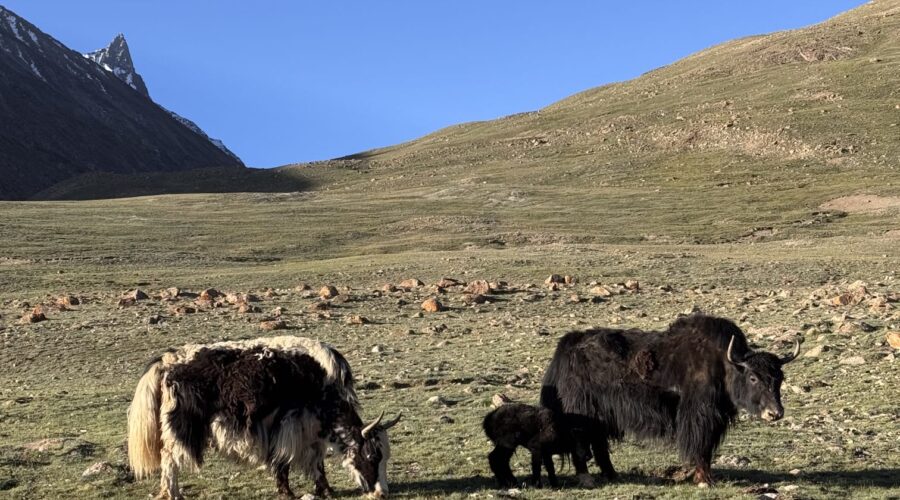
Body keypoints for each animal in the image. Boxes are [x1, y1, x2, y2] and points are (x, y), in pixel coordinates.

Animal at [127, 336, 401, 499]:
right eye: (372, 456)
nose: (382, 493)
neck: (323, 383)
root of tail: (166, 361)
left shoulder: (311, 431)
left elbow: (316, 461)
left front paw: (325, 489)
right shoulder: (289, 426)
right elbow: (285, 461)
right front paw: (288, 492)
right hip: (180, 428)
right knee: (169, 459)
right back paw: (172, 493)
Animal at [540, 314, 799, 488]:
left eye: (780, 378)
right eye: (753, 377)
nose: (775, 413)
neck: (723, 364)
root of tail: (568, 344)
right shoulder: (699, 416)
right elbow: (700, 446)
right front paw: (705, 480)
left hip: (600, 415)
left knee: (599, 444)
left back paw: (612, 474)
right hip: (581, 411)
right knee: (582, 443)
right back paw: (587, 479)